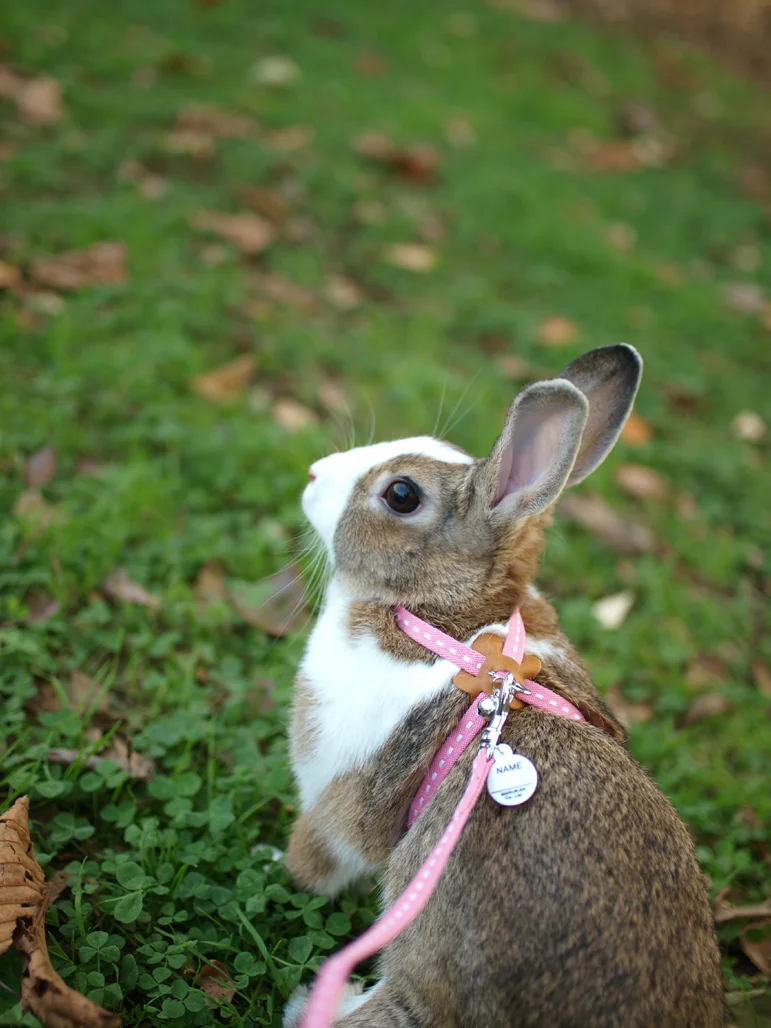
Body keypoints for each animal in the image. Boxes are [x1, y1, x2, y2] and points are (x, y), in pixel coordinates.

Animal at [283, 345, 724, 1028]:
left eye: (401, 494)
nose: (312, 473)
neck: (441, 616)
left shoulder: (337, 799)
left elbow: (321, 853)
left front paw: (287, 868)